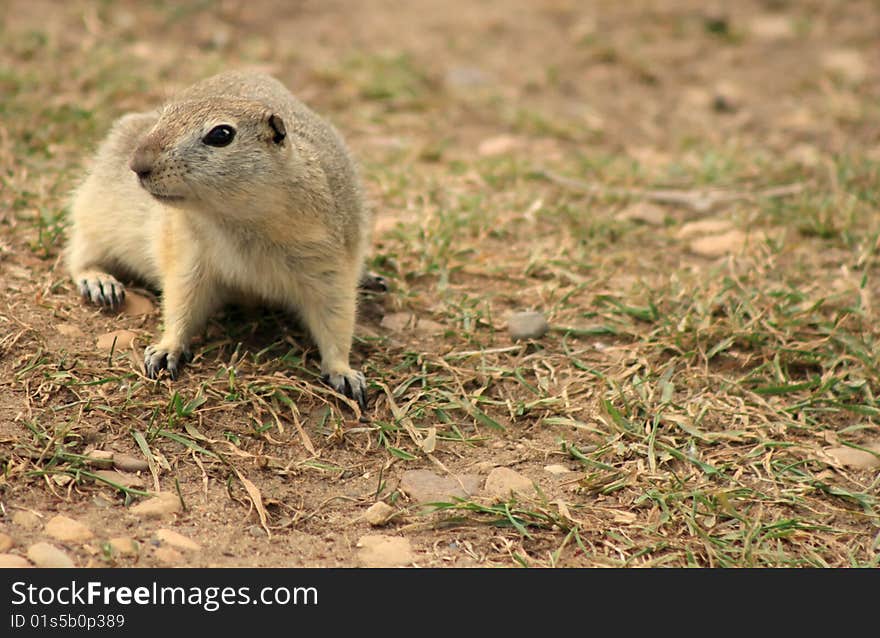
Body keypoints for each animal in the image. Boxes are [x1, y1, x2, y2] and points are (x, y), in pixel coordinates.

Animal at [68, 71, 372, 410]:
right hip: (95, 213)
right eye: (165, 115)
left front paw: (344, 372)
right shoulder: (188, 257)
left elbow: (337, 318)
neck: (237, 221)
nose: (137, 163)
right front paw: (165, 349)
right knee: (80, 256)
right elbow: (180, 304)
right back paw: (100, 283)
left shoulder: (328, 264)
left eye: (221, 134)